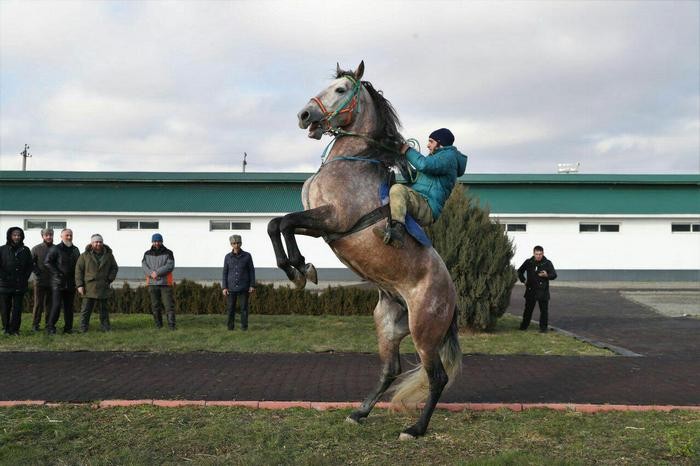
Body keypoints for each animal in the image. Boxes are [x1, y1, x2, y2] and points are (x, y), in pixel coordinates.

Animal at [266, 62, 460, 440]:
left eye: (341, 90)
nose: (304, 115)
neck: (350, 161)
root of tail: (453, 299)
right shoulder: (321, 227)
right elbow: (277, 224)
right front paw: (297, 269)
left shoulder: (334, 219)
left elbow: (283, 223)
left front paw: (300, 269)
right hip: (388, 324)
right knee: (390, 369)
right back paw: (359, 412)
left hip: (424, 332)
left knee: (437, 377)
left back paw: (415, 429)